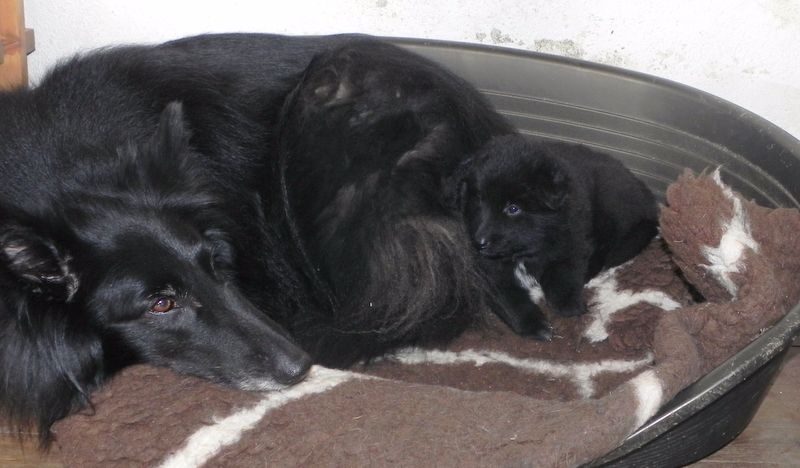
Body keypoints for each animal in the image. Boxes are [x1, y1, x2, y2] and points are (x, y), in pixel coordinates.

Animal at [457, 134, 658, 335]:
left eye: (513, 208)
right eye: (479, 201)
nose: (479, 242)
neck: (523, 253)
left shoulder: (572, 241)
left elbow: (563, 274)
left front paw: (569, 305)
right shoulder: (488, 272)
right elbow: (509, 300)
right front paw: (535, 326)